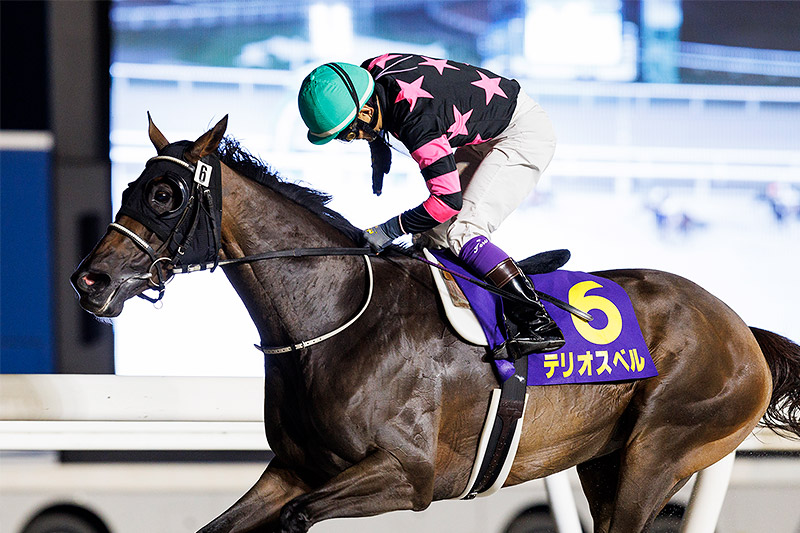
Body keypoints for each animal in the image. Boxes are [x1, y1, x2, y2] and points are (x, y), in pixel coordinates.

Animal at [71, 116, 800, 533]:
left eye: (165, 195)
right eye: (129, 187)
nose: (90, 279)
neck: (335, 317)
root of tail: (744, 331)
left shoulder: (410, 474)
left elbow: (298, 520)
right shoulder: (296, 468)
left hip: (661, 452)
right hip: (603, 461)